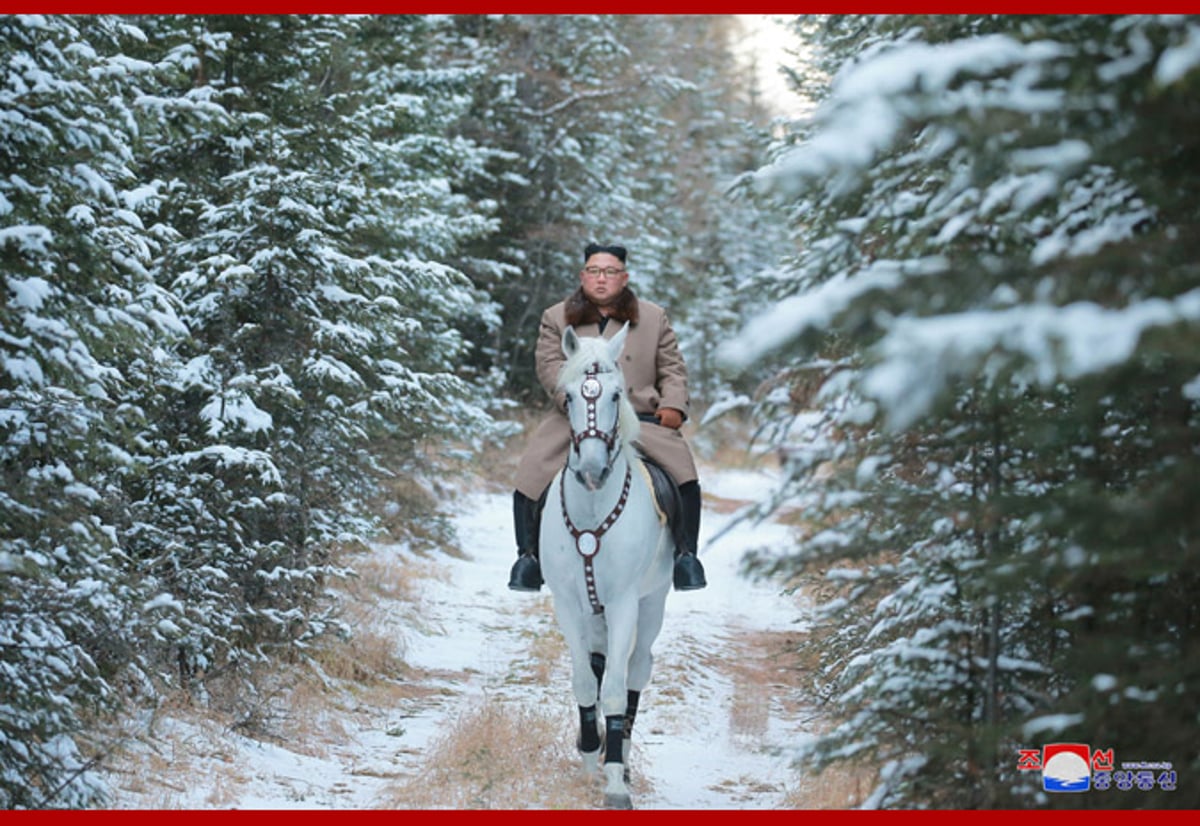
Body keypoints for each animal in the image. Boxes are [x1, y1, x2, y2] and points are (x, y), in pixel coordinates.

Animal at [542, 321, 681, 806]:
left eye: (616, 395)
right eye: (568, 397)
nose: (592, 470)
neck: (591, 510)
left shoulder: (623, 604)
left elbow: (618, 690)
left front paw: (616, 779)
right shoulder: (567, 603)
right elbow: (587, 681)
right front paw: (589, 756)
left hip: (652, 603)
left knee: (637, 667)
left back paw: (621, 750)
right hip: (593, 607)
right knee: (599, 663)